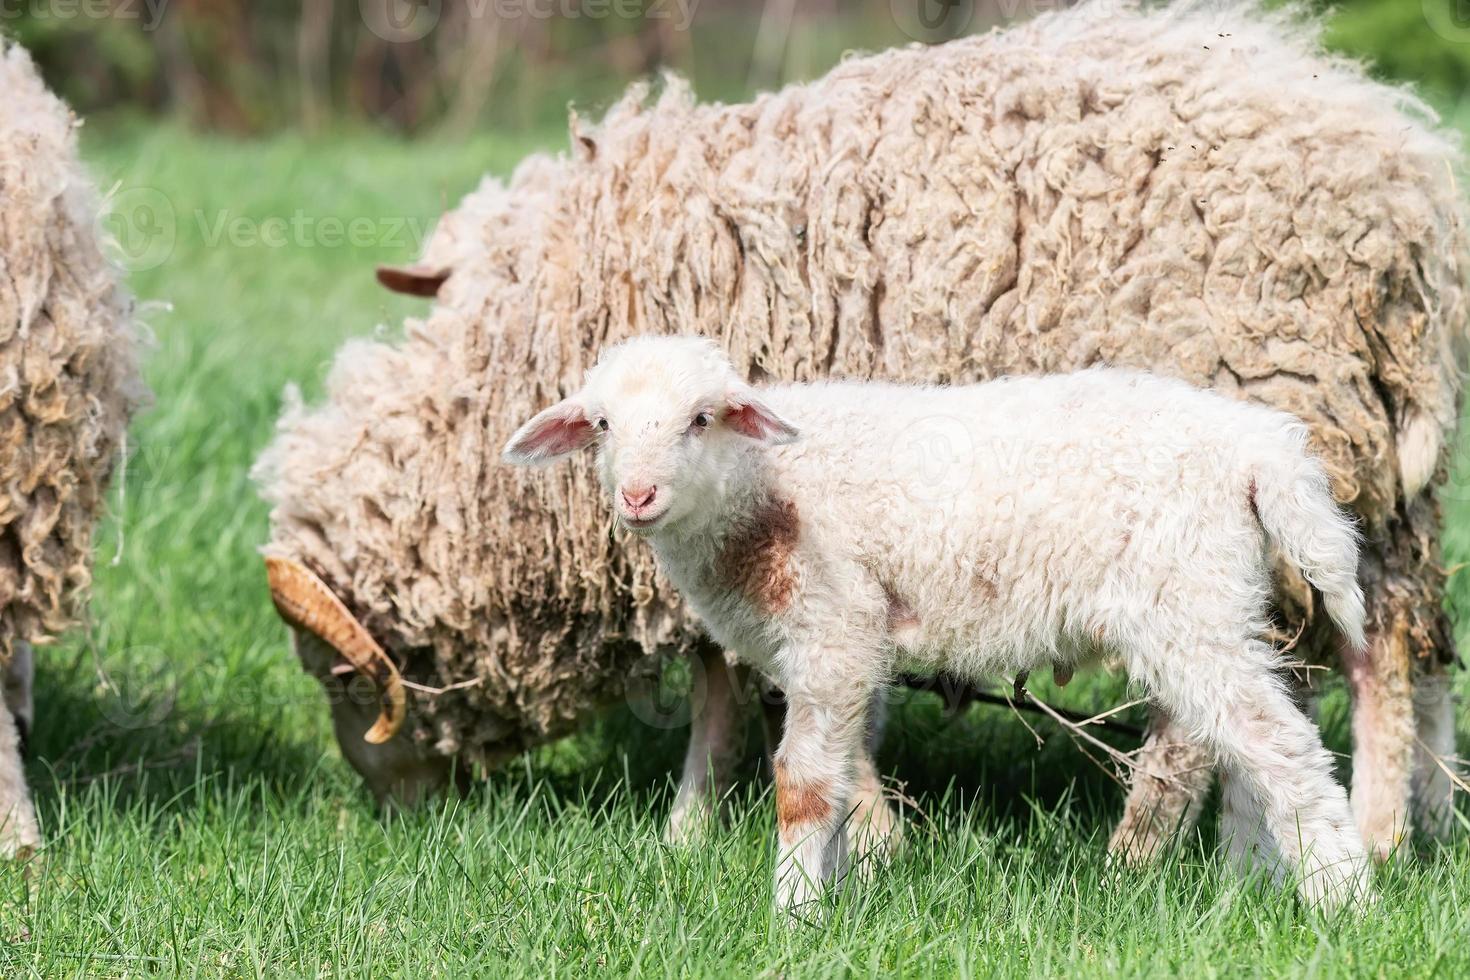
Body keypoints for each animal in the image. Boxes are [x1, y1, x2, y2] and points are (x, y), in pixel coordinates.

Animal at [508, 334, 1375, 910]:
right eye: (602, 426)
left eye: (702, 418)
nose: (638, 496)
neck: (763, 490)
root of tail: (1260, 448)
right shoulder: (847, 649)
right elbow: (847, 772)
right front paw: (847, 882)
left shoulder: (834, 622)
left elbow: (804, 781)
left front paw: (794, 914)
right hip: (1217, 598)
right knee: (1249, 750)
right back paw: (1252, 891)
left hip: (1185, 601)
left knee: (1280, 748)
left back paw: (1343, 902)